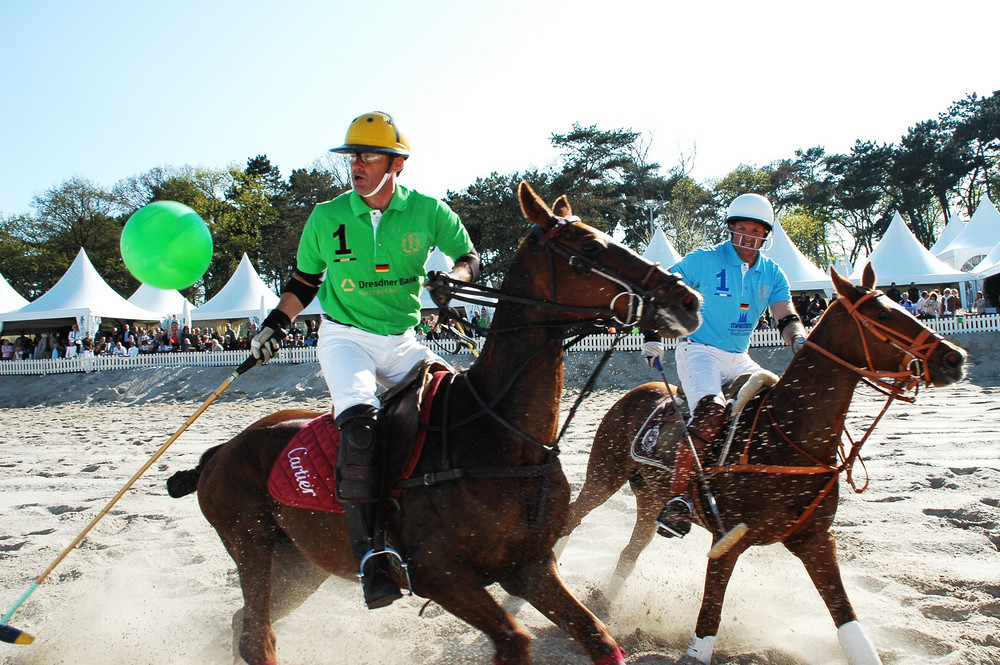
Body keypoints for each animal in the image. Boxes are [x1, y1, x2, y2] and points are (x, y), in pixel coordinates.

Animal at [164, 182, 700, 664]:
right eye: (588, 247)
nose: (687, 300)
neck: (502, 434)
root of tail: (218, 453)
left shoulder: (530, 566)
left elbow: (599, 639)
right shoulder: (440, 575)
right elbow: (515, 641)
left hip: (301, 565)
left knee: (245, 624)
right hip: (251, 544)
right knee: (258, 637)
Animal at [560, 264, 964, 664]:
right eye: (881, 314)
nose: (954, 357)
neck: (789, 435)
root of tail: (637, 390)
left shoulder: (816, 539)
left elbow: (847, 619)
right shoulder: (726, 540)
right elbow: (709, 618)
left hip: (650, 498)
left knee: (630, 550)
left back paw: (605, 602)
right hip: (604, 474)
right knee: (573, 516)